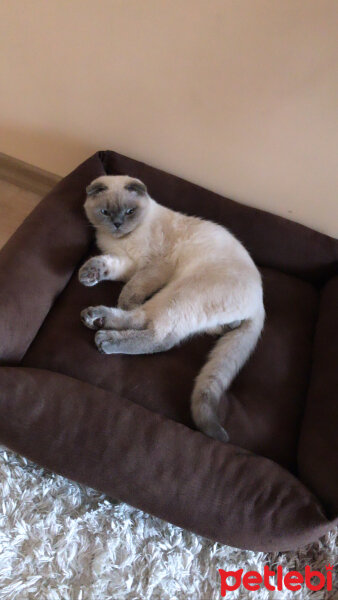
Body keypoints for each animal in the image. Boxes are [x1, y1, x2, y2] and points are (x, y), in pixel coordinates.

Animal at [78, 173, 264, 440]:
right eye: (105, 212)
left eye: (129, 211)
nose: (117, 224)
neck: (121, 240)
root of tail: (260, 303)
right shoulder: (127, 263)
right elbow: (105, 264)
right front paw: (88, 275)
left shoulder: (152, 266)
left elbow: (131, 291)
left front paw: (123, 299)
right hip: (190, 309)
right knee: (165, 326)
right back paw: (95, 318)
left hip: (178, 293)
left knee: (158, 335)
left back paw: (104, 336)